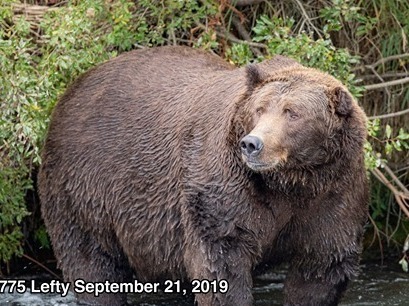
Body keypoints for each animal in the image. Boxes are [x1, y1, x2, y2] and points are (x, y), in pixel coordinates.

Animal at [39, 46, 366, 306]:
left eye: (293, 112)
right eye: (260, 109)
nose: (252, 144)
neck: (292, 182)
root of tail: (71, 90)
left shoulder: (334, 194)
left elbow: (321, 266)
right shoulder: (227, 187)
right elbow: (221, 260)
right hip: (85, 186)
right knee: (91, 260)